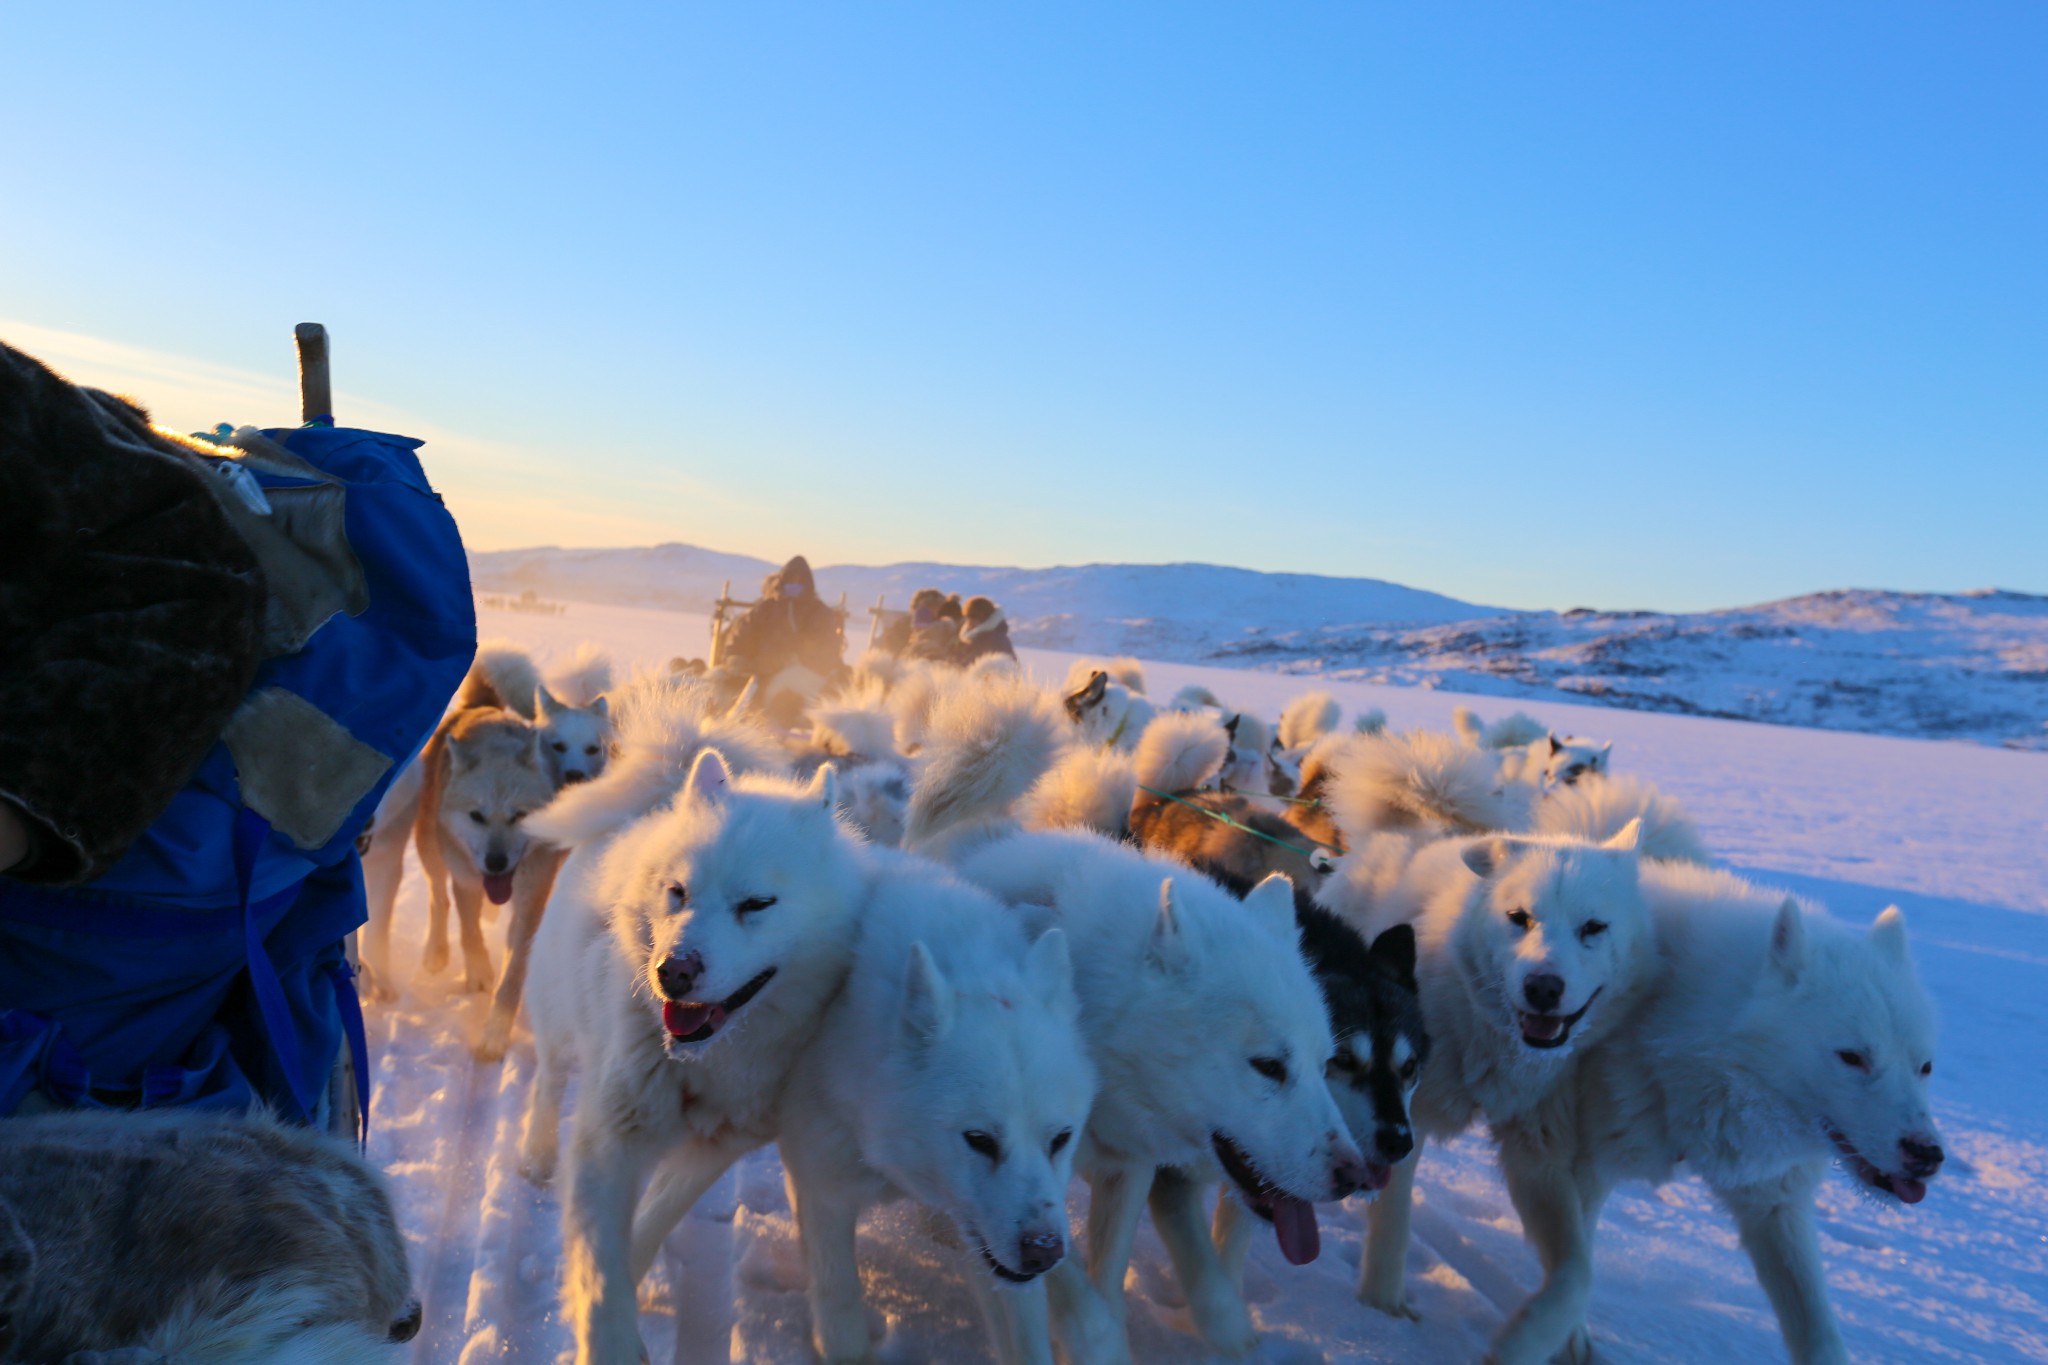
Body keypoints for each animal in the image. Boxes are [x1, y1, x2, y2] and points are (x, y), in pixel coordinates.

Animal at [520, 753, 864, 1358]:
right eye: (678, 892)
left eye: (756, 904)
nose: (672, 973)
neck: (701, 1064)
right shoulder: (606, 1140)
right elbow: (600, 1268)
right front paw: (605, 1336)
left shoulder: (717, 1146)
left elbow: (652, 1219)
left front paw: (624, 1280)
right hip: (559, 1015)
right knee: (549, 1079)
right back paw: (538, 1152)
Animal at [950, 826, 1368, 1358]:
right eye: (1269, 1066)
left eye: (1324, 1064)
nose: (1356, 1176)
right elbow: (1079, 1307)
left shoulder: (1128, 1173)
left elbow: (1106, 1285)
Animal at [1318, 818, 1654, 1317]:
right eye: (1519, 917)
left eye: (1594, 927)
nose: (1543, 988)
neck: (1500, 1045)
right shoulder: (1405, 1118)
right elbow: (1394, 1221)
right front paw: (1382, 1307)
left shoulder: (1538, 1153)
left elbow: (1575, 1271)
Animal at [1490, 871, 1933, 1358]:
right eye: (1852, 1057)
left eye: (1925, 1067)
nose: (1930, 1156)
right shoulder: (1578, 1171)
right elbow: (1575, 1273)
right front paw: (1547, 1341)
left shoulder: (1775, 1205)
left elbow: (1819, 1334)